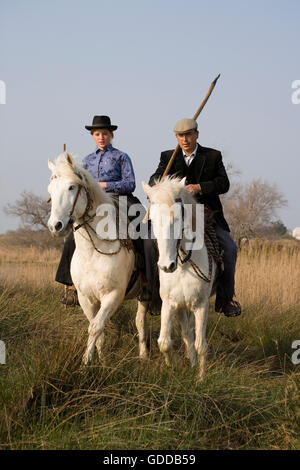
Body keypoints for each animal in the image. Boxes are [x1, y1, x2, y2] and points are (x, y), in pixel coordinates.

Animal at [47, 153, 149, 364]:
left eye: (71, 187)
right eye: (50, 190)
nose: (55, 226)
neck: (92, 253)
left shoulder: (113, 296)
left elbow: (95, 327)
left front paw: (86, 363)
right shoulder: (86, 298)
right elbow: (97, 327)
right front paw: (101, 360)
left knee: (141, 322)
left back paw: (144, 356)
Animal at [142, 176, 217, 378]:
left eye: (176, 219)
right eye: (152, 220)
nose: (166, 266)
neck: (184, 265)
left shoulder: (202, 306)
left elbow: (201, 345)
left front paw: (201, 378)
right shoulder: (169, 304)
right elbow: (164, 342)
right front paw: (173, 365)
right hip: (181, 307)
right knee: (186, 334)